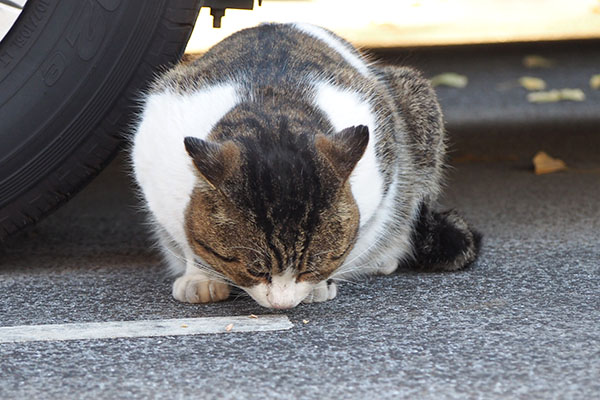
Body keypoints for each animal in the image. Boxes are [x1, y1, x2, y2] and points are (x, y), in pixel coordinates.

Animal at [130, 21, 478, 310]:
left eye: (311, 266)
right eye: (255, 269)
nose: (283, 304)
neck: (270, 109)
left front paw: (320, 284)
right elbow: (189, 240)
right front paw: (201, 276)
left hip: (417, 99)